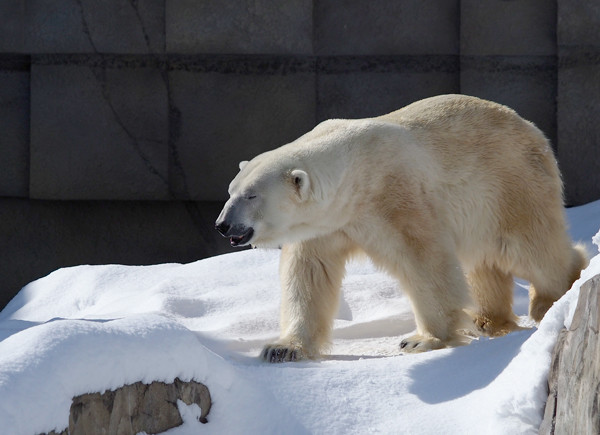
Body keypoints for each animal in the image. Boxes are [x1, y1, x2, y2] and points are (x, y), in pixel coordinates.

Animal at [214, 93, 584, 362]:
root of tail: (531, 128)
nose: (222, 225)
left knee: (529, 248)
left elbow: (424, 261)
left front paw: (423, 339)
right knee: (483, 261)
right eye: (231, 191)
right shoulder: (324, 224)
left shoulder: (394, 194)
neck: (352, 171)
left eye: (251, 195)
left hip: (510, 185)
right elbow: (309, 273)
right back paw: (487, 318)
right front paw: (283, 348)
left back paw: (553, 296)